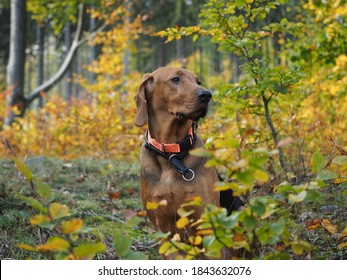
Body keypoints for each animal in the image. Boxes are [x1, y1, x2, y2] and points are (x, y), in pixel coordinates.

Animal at [135, 66, 243, 244]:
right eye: (175, 79)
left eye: (198, 81)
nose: (207, 95)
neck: (171, 153)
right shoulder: (162, 227)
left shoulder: (205, 220)